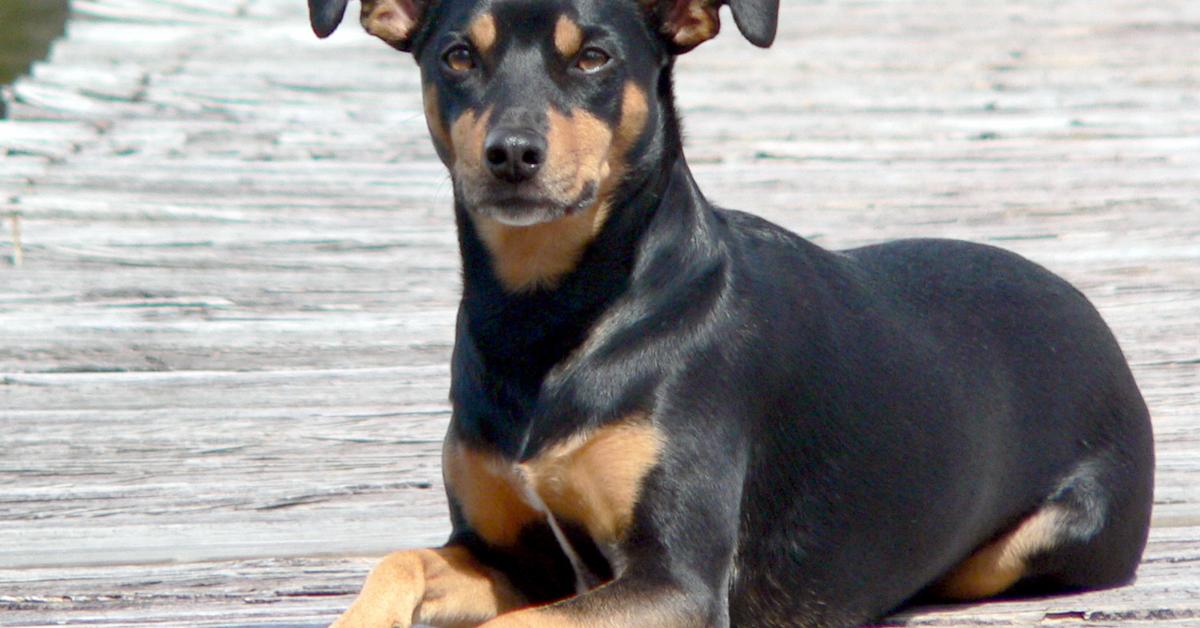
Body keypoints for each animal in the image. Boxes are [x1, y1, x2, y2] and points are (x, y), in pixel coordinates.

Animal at [307, 2, 1152, 624]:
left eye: (593, 58)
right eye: (457, 56)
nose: (513, 154)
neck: (548, 318)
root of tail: (1091, 316)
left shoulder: (674, 582)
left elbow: (518, 624)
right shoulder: (501, 554)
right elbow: (400, 563)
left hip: (1036, 541)